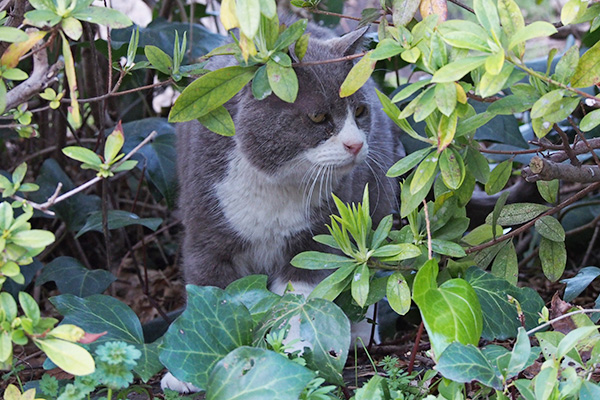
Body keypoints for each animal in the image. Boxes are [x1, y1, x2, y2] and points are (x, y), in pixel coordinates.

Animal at [162, 22, 400, 394]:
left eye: (359, 112)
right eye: (318, 116)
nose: (356, 144)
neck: (274, 184)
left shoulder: (316, 237)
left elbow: (298, 297)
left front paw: (289, 355)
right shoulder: (207, 229)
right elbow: (210, 292)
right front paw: (188, 372)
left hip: (375, 202)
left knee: (365, 272)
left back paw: (359, 334)